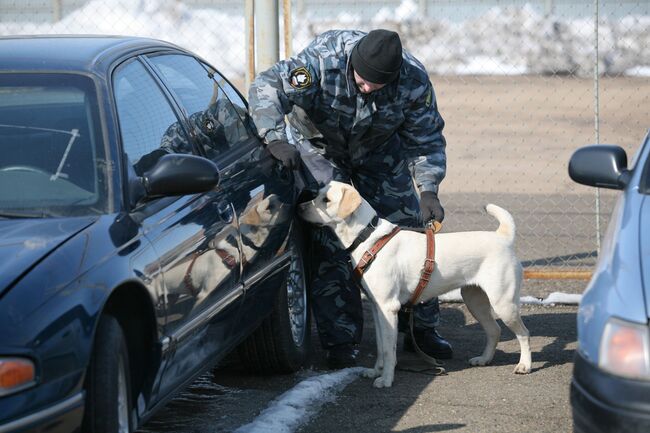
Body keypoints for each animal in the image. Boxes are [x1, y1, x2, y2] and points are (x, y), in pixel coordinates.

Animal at [296, 181, 528, 386]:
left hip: (503, 303)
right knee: (494, 330)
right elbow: (381, 347)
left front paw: (386, 380)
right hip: (474, 300)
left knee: (523, 333)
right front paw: (376, 371)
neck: (367, 238)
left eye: (326, 200)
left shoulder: (388, 308)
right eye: (317, 194)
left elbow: (389, 350)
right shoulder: (377, 309)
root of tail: (503, 237)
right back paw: (484, 359)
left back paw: (524, 365)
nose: (299, 206)